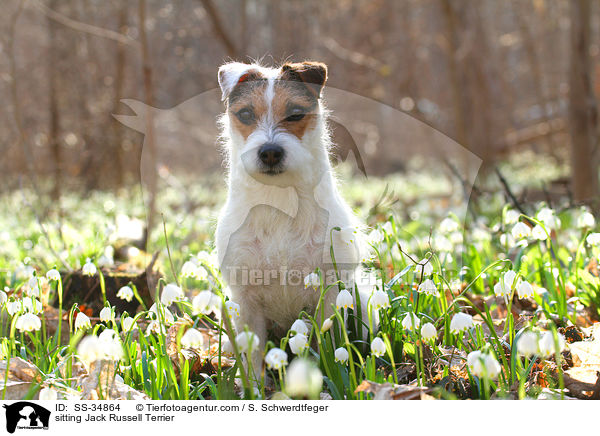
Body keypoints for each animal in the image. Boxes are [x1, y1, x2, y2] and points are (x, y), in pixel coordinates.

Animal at [216, 59, 372, 376]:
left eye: (296, 114)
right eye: (246, 114)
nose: (270, 152)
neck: (280, 202)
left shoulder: (330, 292)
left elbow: (329, 344)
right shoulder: (246, 300)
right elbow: (253, 359)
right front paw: (252, 385)